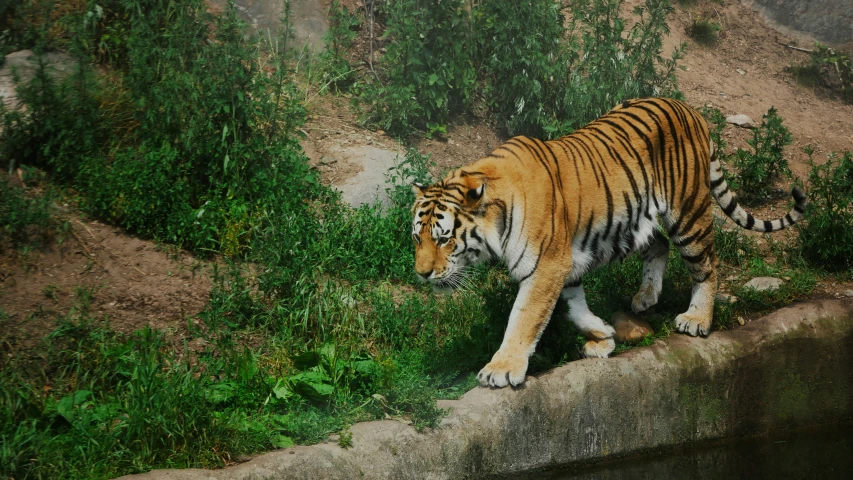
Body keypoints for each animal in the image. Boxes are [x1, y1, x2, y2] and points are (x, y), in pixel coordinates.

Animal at [412, 95, 804, 388]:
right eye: (417, 238)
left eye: (445, 239)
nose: (421, 274)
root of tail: (689, 109)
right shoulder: (564, 265)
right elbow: (574, 308)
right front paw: (603, 336)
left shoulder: (546, 266)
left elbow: (524, 318)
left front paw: (501, 369)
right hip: (635, 220)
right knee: (659, 244)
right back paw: (646, 297)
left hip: (689, 214)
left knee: (707, 264)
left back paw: (697, 319)